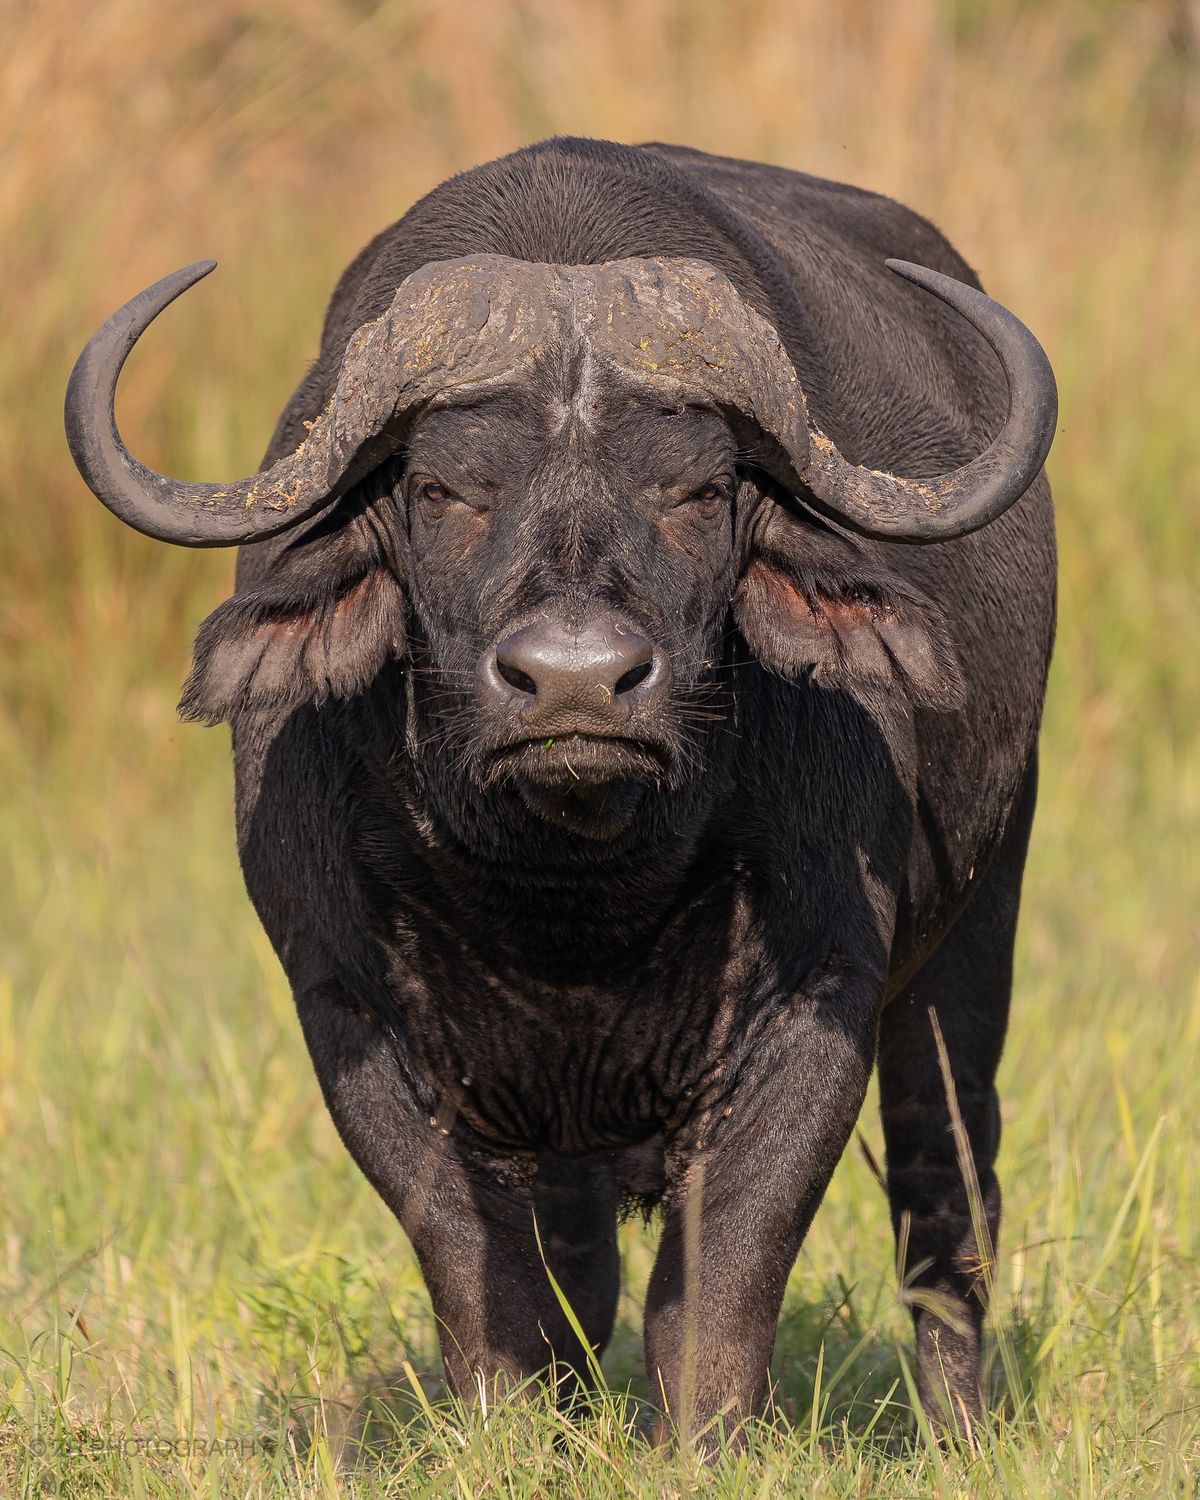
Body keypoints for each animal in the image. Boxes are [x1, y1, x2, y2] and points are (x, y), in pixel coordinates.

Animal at [66, 137, 1057, 1444]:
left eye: (698, 492)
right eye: (442, 490)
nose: (578, 682)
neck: (572, 898)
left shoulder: (818, 1000)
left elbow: (723, 1277)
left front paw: (698, 1444)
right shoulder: (351, 1012)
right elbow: (482, 1272)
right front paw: (510, 1433)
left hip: (978, 929)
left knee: (947, 1193)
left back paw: (956, 1426)